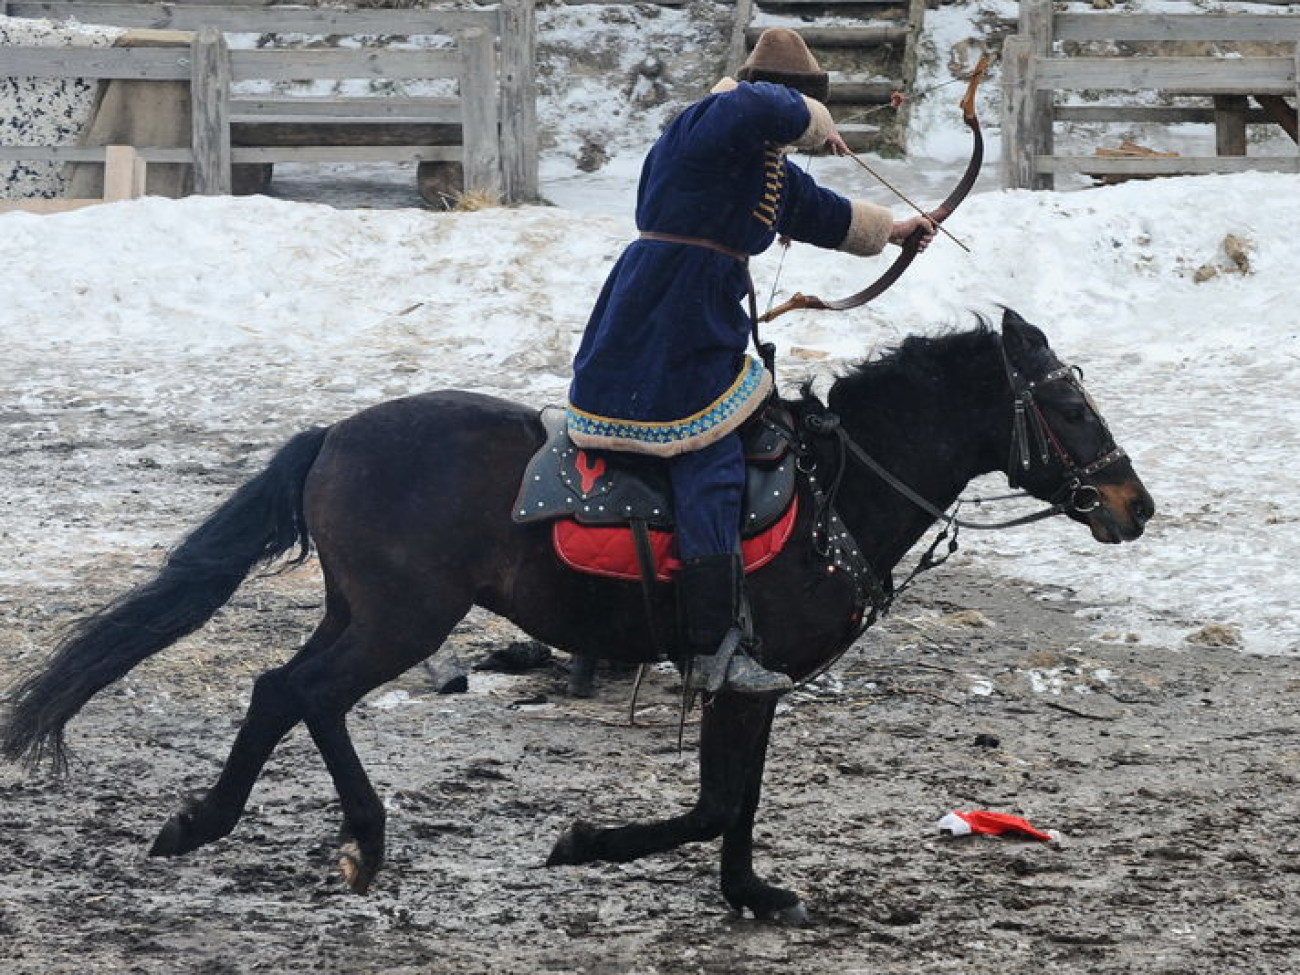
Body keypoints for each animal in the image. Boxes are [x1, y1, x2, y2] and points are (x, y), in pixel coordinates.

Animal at [2, 310, 1159, 925]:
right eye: (1066, 404)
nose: (1132, 504)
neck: (834, 491)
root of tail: (335, 436)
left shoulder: (753, 683)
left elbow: (736, 801)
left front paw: (750, 893)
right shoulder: (741, 673)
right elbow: (713, 802)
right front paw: (587, 843)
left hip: (365, 611)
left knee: (285, 691)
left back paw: (271, 827)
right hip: (401, 620)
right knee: (299, 692)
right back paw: (293, 830)